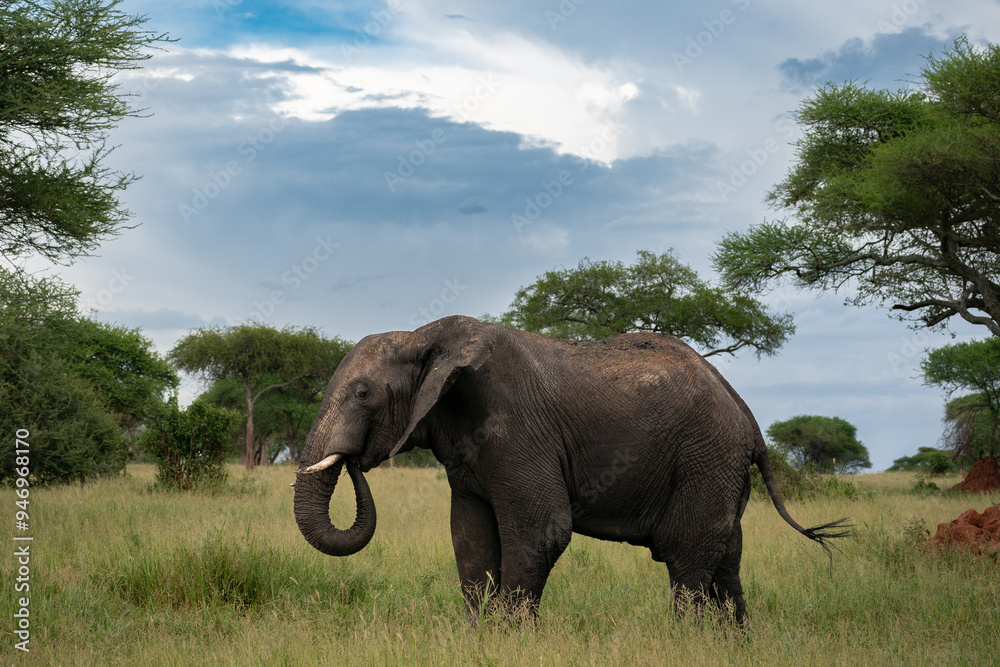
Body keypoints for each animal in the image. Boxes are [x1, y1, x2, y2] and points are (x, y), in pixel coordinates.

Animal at [293, 315, 849, 624]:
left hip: (706, 458)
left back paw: (685, 640)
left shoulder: (517, 428)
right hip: (721, 467)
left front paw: (509, 639)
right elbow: (470, 542)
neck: (424, 336)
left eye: (362, 393)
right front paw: (478, 638)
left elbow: (542, 533)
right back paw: (734, 643)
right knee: (726, 560)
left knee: (688, 556)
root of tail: (748, 417)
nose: (356, 460)